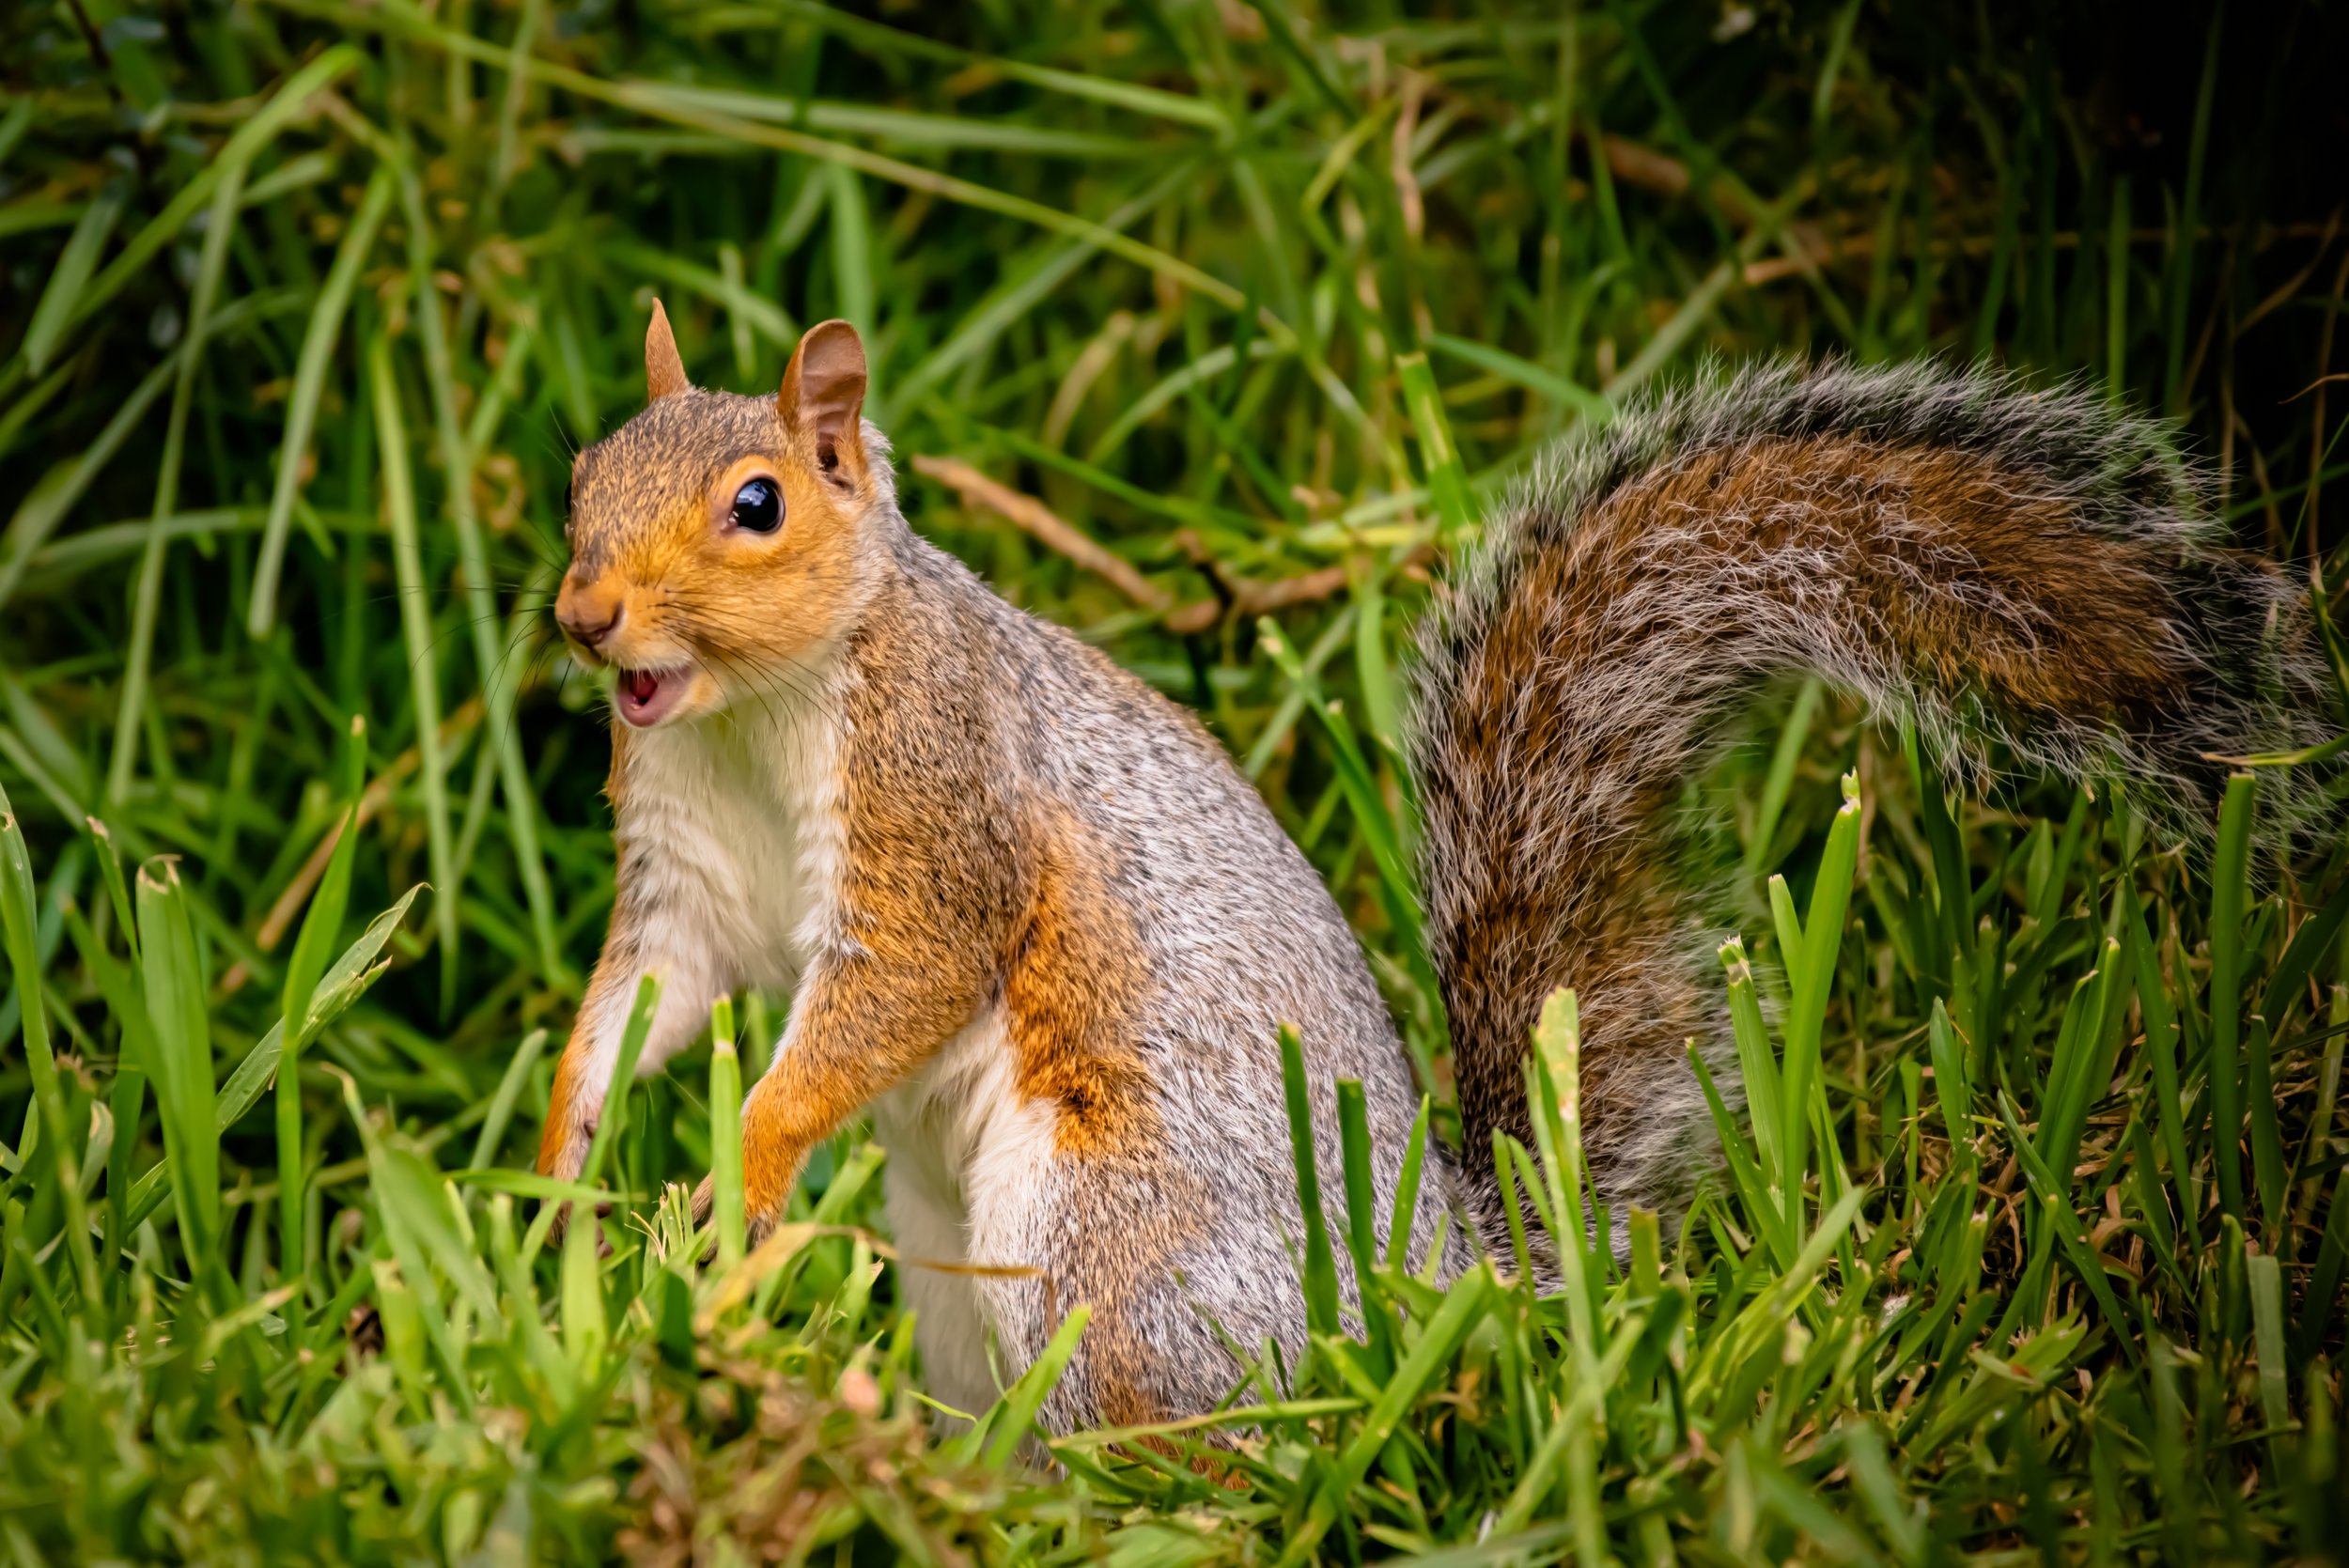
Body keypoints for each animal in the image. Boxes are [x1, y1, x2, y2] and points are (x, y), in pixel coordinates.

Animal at [539, 304, 2325, 1432]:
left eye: (758, 503)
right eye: (582, 472)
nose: (583, 617)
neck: (752, 713)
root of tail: (1439, 1275)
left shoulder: (936, 800)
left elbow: (894, 984)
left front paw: (746, 1169)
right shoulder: (687, 871)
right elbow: (648, 997)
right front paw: (562, 1166)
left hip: (1112, 1250)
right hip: (961, 1279)